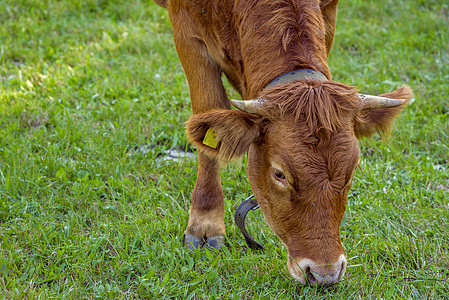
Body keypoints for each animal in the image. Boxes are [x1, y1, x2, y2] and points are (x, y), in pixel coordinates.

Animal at [153, 0, 410, 286]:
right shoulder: (187, 31)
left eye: (352, 172)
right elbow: (208, 113)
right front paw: (204, 224)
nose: (325, 273)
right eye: (280, 174)